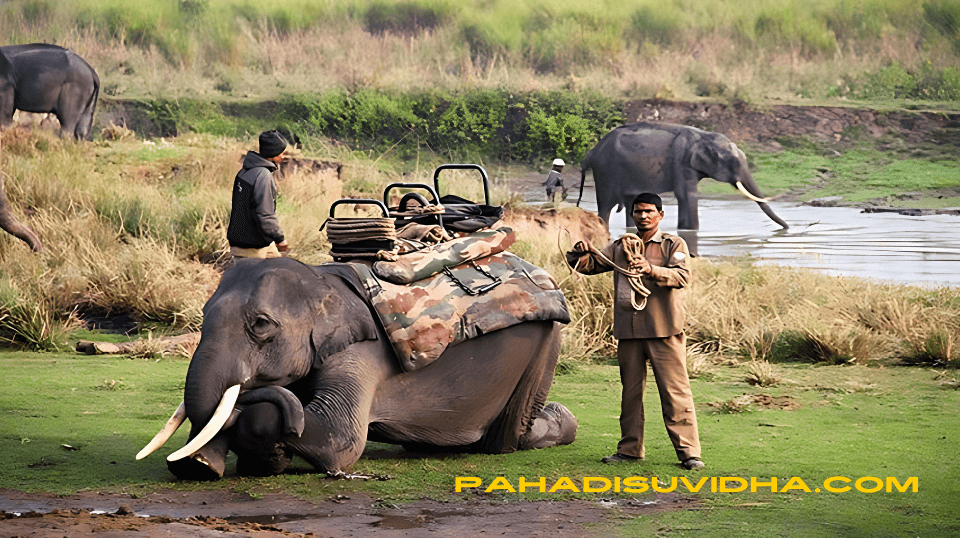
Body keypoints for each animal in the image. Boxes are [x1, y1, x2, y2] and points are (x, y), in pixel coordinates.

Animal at [136, 255, 576, 478]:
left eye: (260, 325)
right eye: (203, 315)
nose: (247, 387)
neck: (320, 281)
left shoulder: (364, 351)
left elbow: (340, 437)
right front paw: (203, 465)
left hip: (546, 344)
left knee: (508, 437)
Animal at [576, 122, 788, 247]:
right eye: (732, 163)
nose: (787, 229)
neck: (704, 137)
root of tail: (591, 153)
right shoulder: (682, 162)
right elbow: (687, 195)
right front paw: (689, 232)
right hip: (606, 172)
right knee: (606, 206)